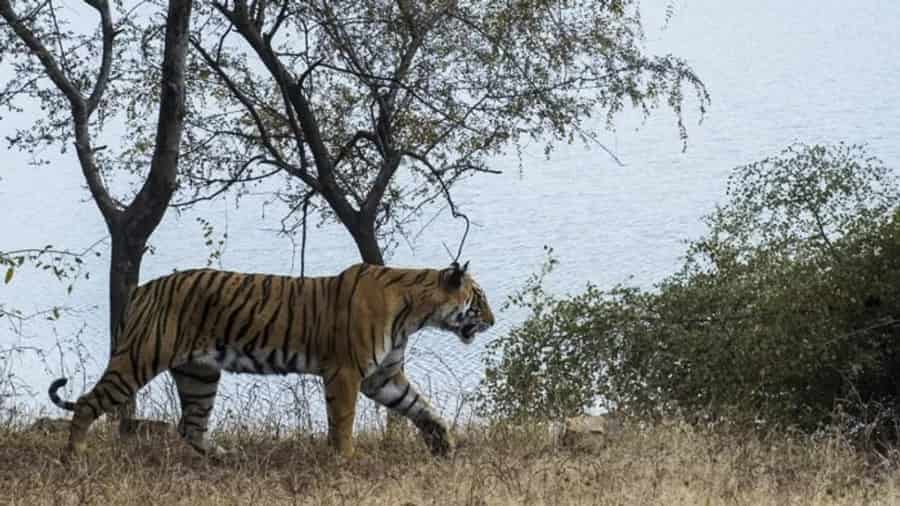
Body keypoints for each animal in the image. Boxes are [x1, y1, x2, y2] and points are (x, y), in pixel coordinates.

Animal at [48, 261, 494, 458]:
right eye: (479, 298)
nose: (492, 321)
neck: (415, 312)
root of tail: (142, 289)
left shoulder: (383, 376)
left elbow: (420, 407)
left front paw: (444, 444)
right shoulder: (346, 373)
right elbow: (343, 422)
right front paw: (344, 461)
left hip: (199, 374)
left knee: (190, 426)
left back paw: (226, 458)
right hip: (139, 358)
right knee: (86, 403)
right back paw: (75, 459)